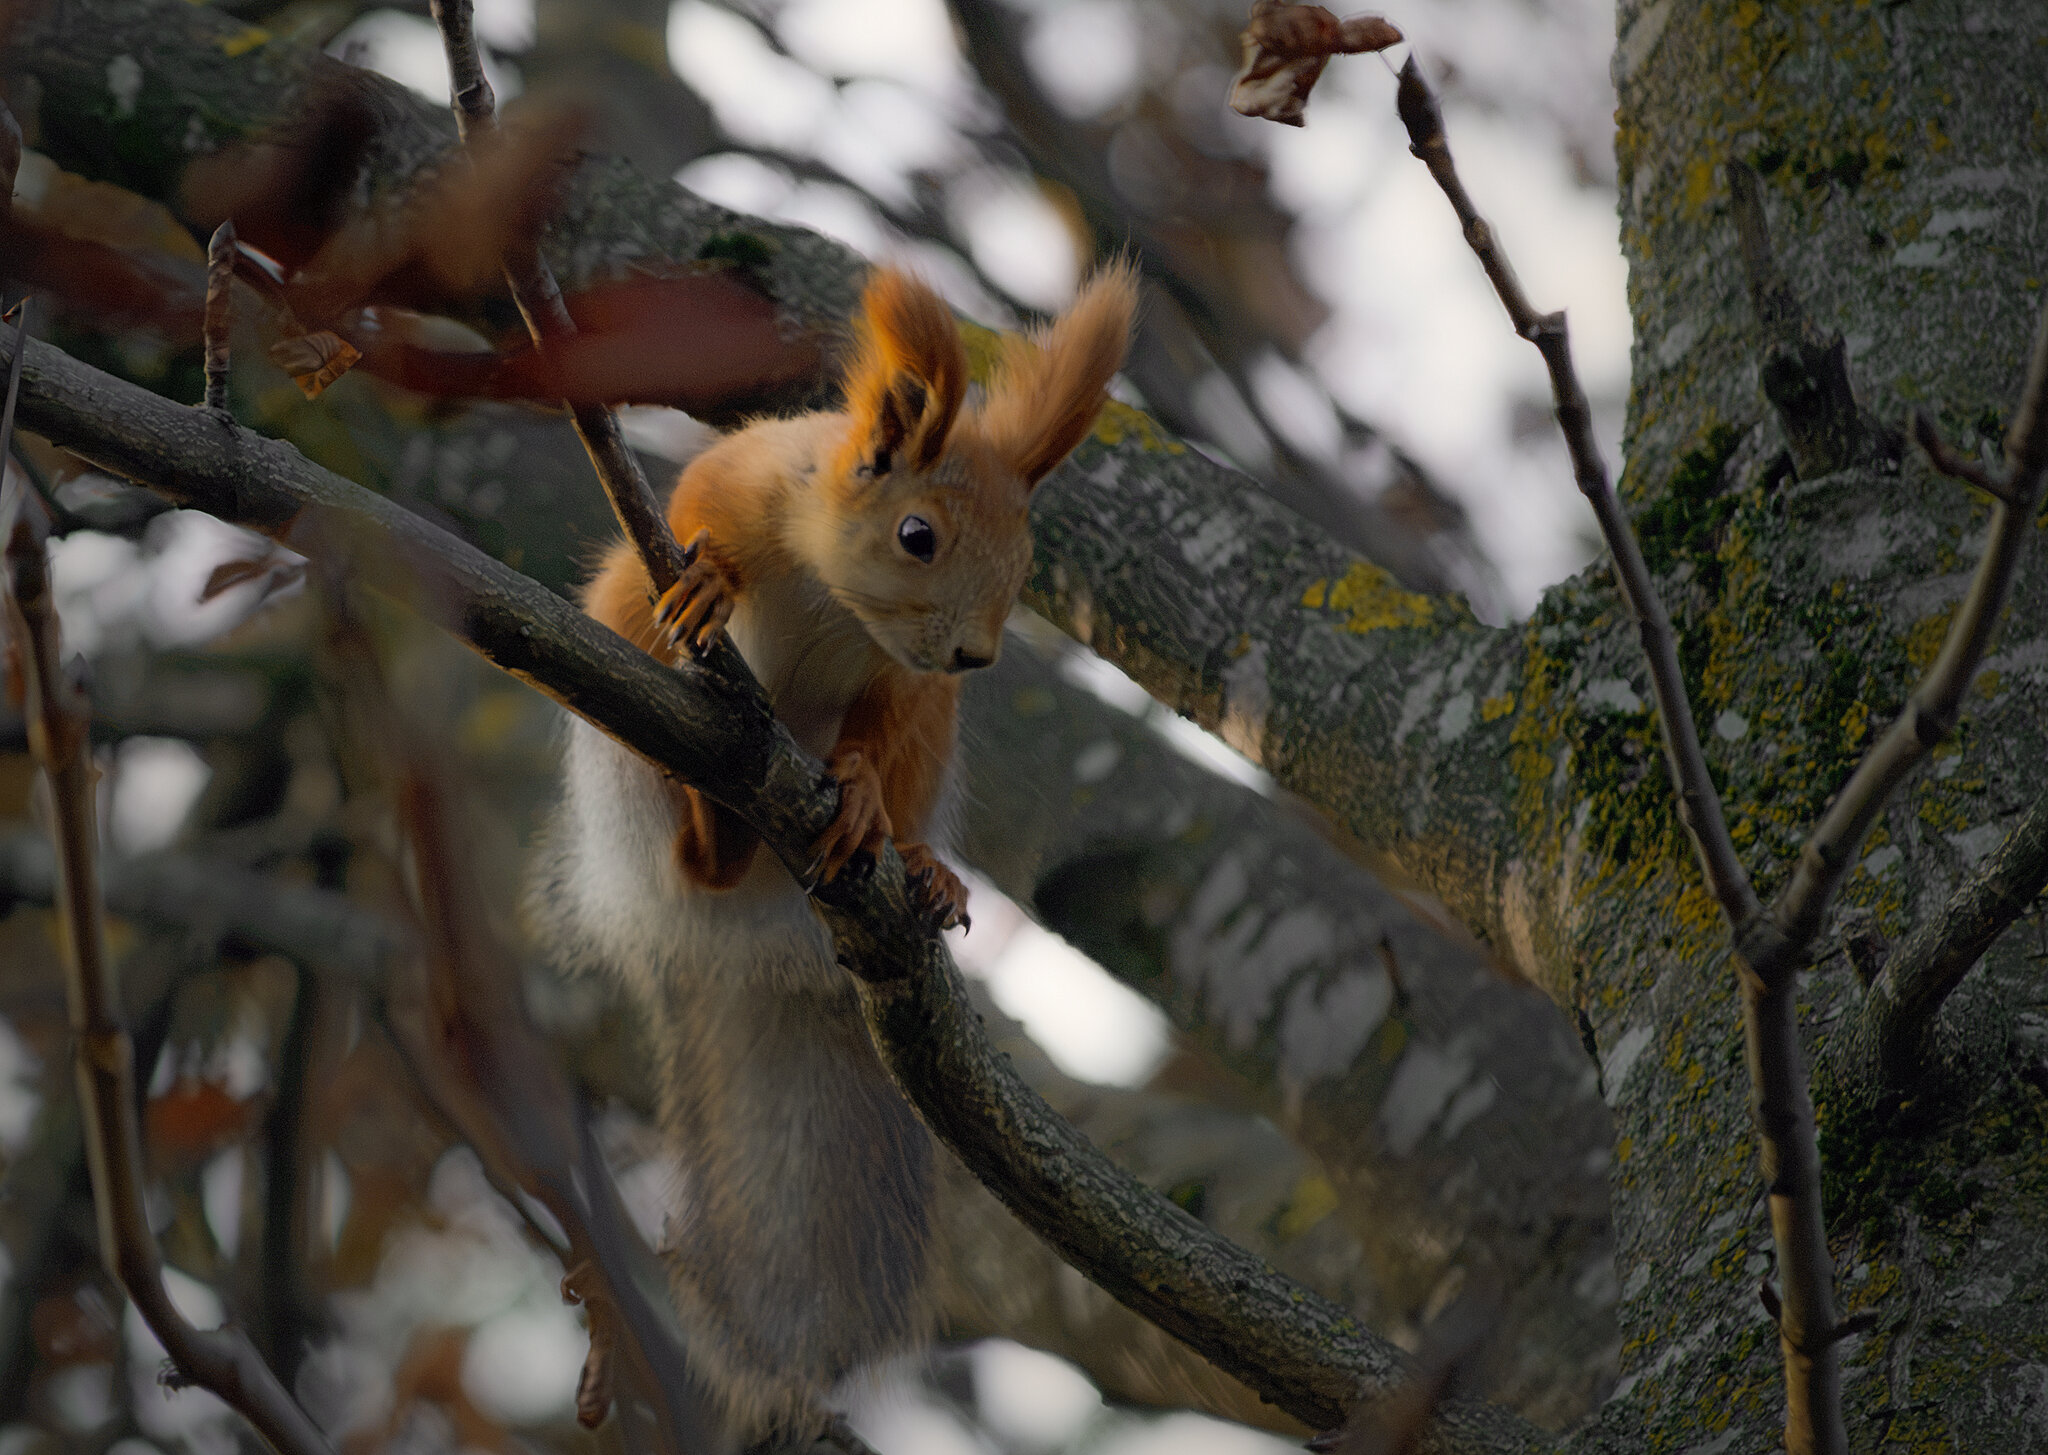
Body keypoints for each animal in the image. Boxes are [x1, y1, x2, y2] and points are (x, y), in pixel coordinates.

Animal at [529, 261, 1137, 1446]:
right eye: (917, 535)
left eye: (1026, 558)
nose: (975, 652)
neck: (834, 597)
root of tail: (746, 934)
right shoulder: (734, 475)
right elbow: (694, 516)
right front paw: (711, 580)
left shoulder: (899, 685)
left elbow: (870, 733)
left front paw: (854, 789)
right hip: (622, 711)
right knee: (689, 847)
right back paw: (707, 824)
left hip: (929, 736)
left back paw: (913, 863)